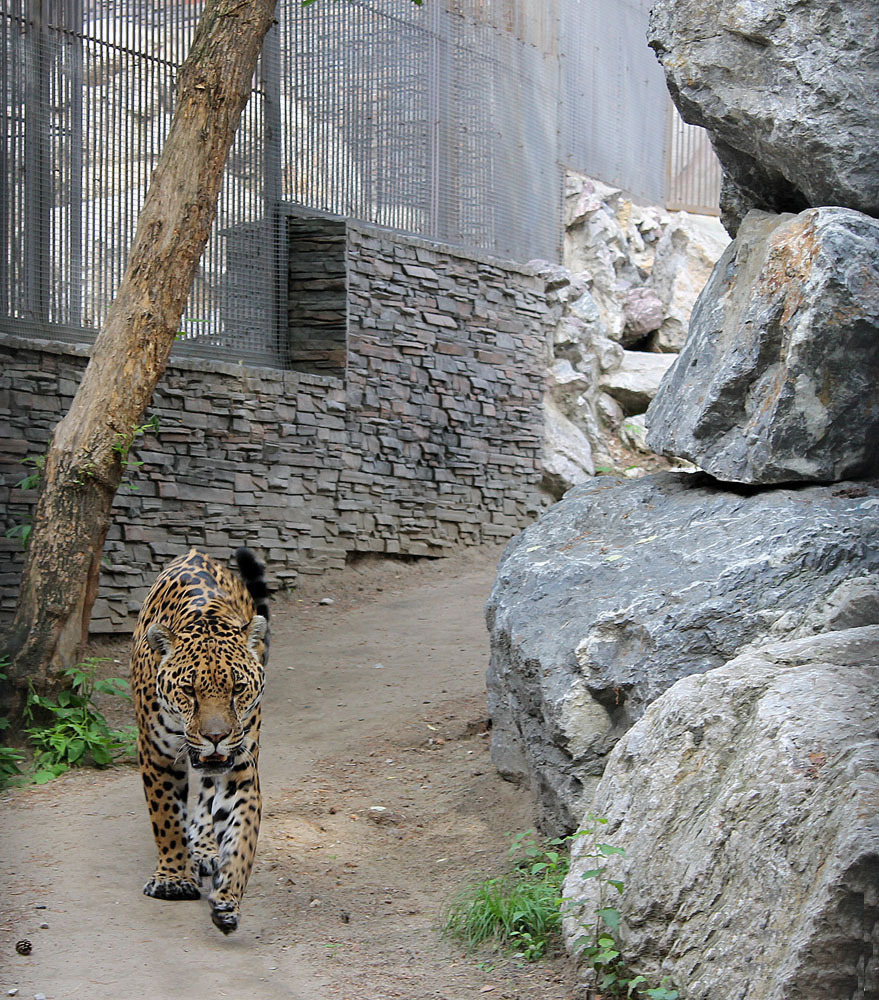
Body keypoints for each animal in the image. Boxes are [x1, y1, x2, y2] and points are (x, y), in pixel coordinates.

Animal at [130, 544, 268, 932]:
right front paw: (174, 879)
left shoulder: (241, 765)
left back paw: (206, 847)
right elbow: (165, 817)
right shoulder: (155, 753)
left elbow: (243, 832)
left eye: (237, 688)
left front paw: (228, 896)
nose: (216, 736)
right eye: (189, 690)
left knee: (208, 791)